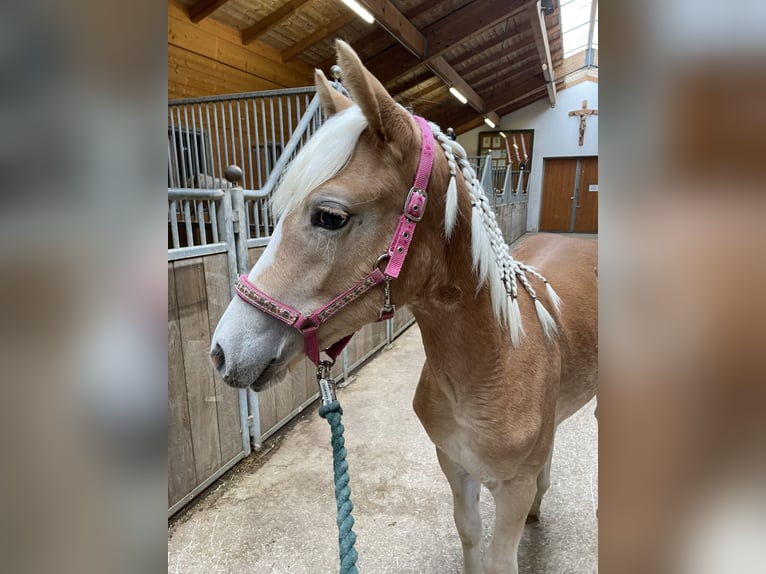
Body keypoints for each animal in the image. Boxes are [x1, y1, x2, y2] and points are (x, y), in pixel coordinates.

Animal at [210, 38, 600, 572]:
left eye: (330, 216)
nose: (223, 351)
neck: (494, 363)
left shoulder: (511, 489)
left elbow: (500, 555)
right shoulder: (453, 466)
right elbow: (470, 535)